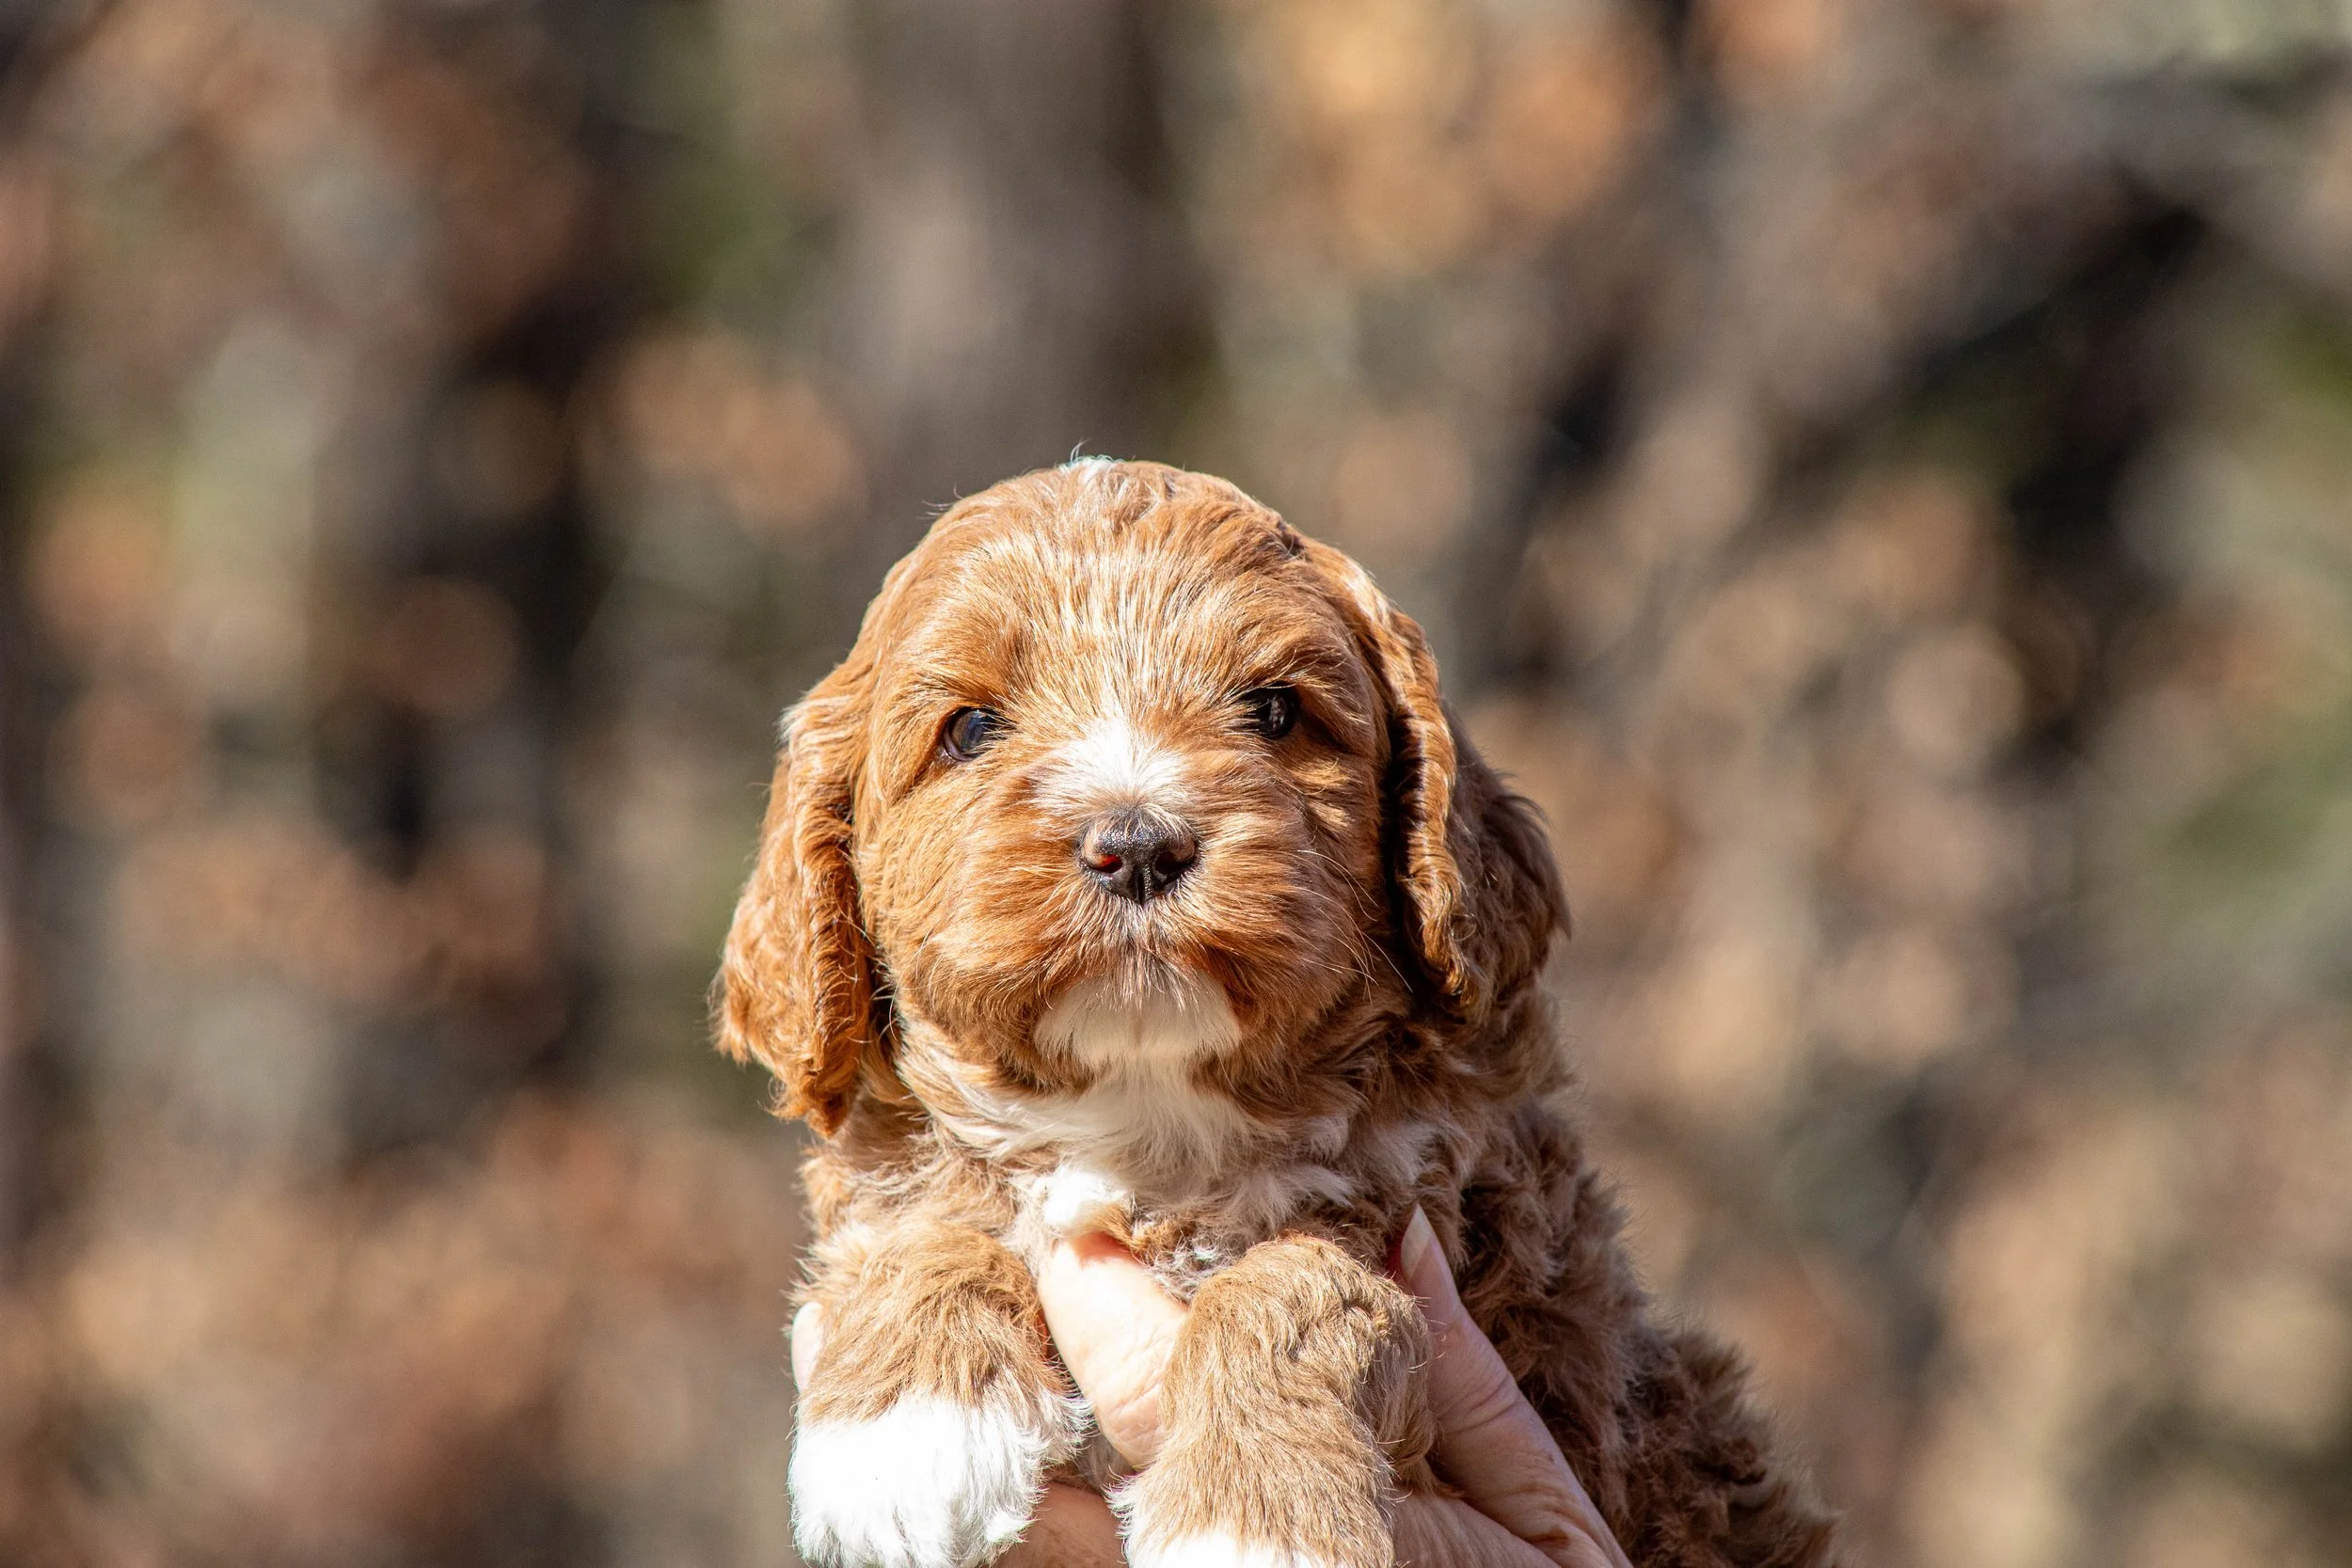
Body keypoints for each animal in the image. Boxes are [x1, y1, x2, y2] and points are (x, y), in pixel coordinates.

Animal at [719, 460, 1837, 1568]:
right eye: (970, 729)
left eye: (1273, 710)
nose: (1137, 843)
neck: (1147, 1121)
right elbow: (922, 1220)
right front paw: (904, 1430)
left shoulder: (1461, 1250)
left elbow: (1294, 1282)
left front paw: (1255, 1513)